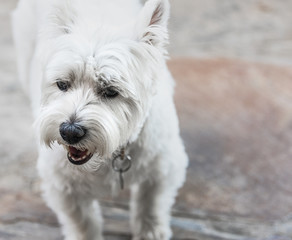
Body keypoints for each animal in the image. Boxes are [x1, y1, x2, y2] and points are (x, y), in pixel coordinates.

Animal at [12, 0, 187, 239]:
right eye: (62, 84)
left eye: (111, 91)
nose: (69, 132)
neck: (111, 155)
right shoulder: (64, 187)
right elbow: (83, 223)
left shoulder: (164, 168)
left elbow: (151, 204)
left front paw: (150, 231)